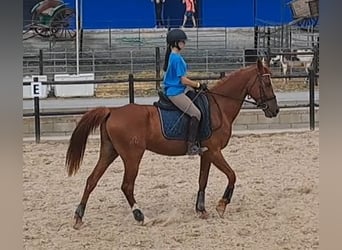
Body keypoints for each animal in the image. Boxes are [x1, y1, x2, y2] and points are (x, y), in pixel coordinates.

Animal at [65, 58, 280, 229]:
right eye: (267, 82)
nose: (275, 109)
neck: (219, 106)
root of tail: (112, 111)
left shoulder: (206, 153)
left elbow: (203, 180)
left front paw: (201, 210)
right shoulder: (215, 151)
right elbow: (232, 175)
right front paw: (221, 205)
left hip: (109, 152)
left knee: (91, 180)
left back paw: (78, 217)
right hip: (132, 156)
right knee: (126, 186)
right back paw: (141, 216)